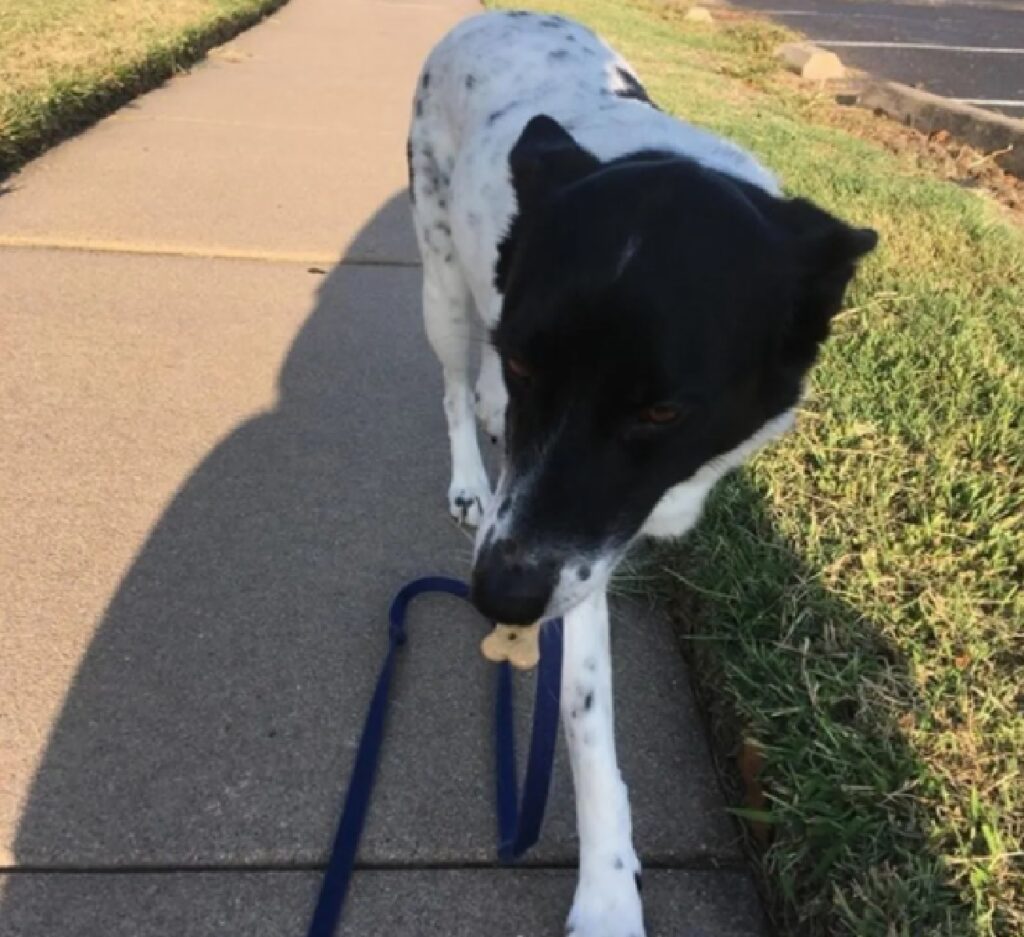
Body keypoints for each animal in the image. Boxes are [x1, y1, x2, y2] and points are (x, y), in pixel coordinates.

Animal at [405, 9, 872, 937]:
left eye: (660, 411)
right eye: (530, 364)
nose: (500, 598)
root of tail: (489, 16)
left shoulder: (577, 526)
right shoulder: (564, 539)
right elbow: (586, 715)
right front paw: (609, 894)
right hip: (440, 272)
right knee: (450, 379)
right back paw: (470, 470)